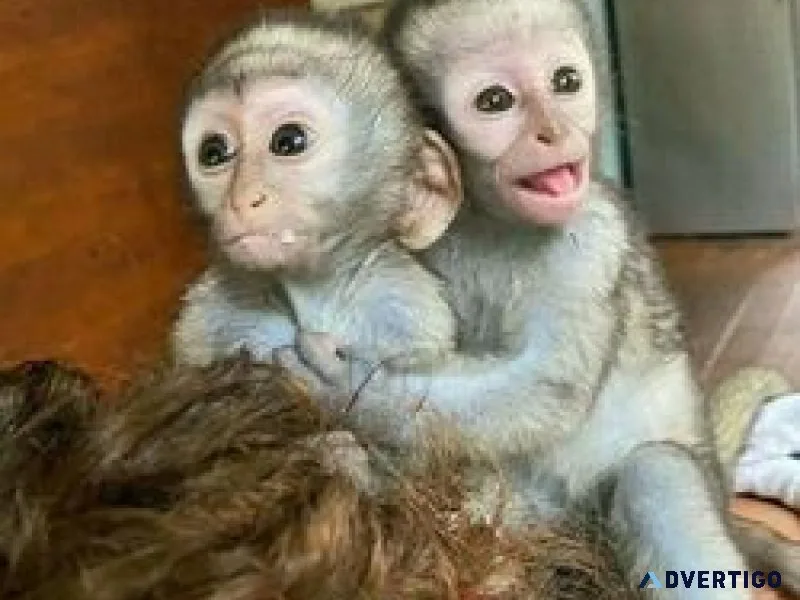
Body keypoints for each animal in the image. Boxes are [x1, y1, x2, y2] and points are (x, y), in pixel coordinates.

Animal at [266, 0, 800, 596]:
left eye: (565, 82)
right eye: (495, 101)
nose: (554, 130)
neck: (491, 221)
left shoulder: (590, 238)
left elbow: (546, 386)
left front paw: (349, 388)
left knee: (655, 473)